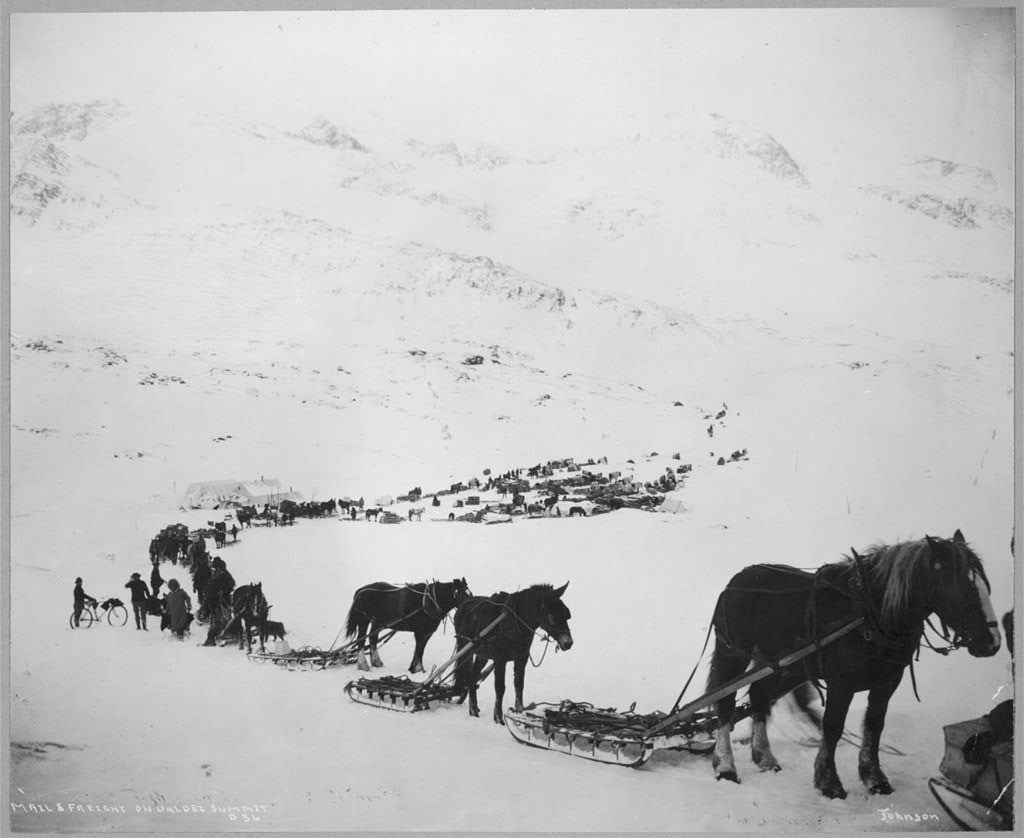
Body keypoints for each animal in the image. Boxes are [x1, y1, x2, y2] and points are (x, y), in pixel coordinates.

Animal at [456, 581, 577, 725]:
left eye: (566, 614)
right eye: (554, 616)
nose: (568, 643)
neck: (514, 622)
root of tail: (463, 603)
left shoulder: (521, 658)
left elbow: (519, 684)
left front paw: (520, 712)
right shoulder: (500, 659)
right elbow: (500, 688)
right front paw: (498, 718)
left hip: (481, 654)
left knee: (473, 676)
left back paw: (474, 708)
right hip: (465, 649)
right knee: (468, 675)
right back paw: (473, 710)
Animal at [708, 528, 995, 794]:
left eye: (985, 583)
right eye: (961, 586)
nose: (992, 642)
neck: (870, 613)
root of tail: (736, 580)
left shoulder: (886, 683)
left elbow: (874, 726)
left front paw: (874, 777)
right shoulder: (841, 684)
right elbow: (833, 727)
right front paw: (829, 781)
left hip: (786, 669)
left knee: (759, 695)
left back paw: (764, 757)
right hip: (733, 657)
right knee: (724, 703)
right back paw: (726, 766)